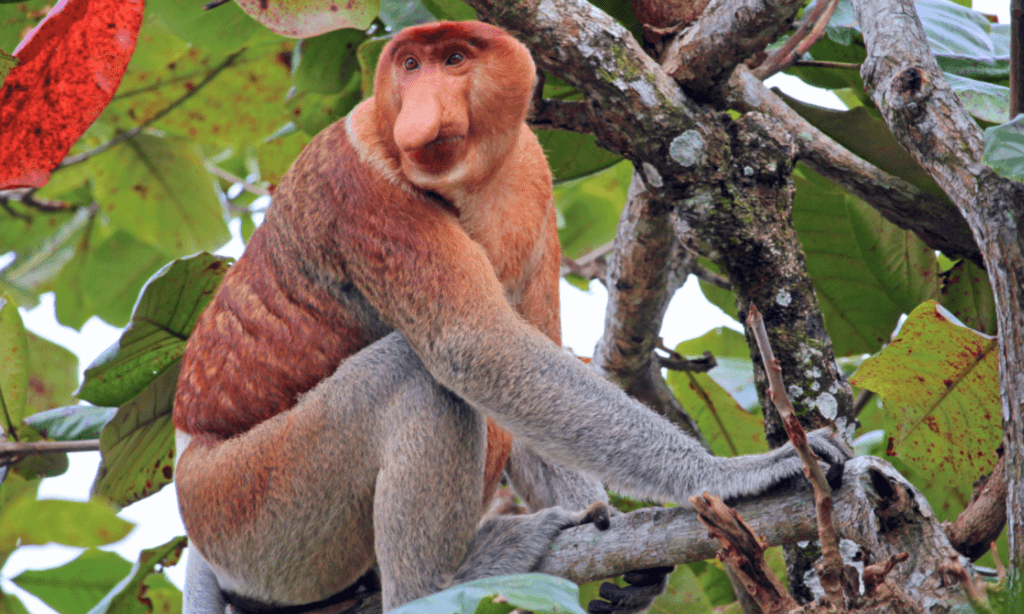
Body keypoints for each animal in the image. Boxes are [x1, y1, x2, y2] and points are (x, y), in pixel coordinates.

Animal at [172, 20, 849, 614]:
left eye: (454, 60)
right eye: (410, 65)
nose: (420, 113)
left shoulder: (530, 175)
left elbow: (528, 351)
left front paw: (619, 540)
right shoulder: (364, 187)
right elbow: (478, 345)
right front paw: (740, 473)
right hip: (252, 507)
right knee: (414, 376)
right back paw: (442, 582)